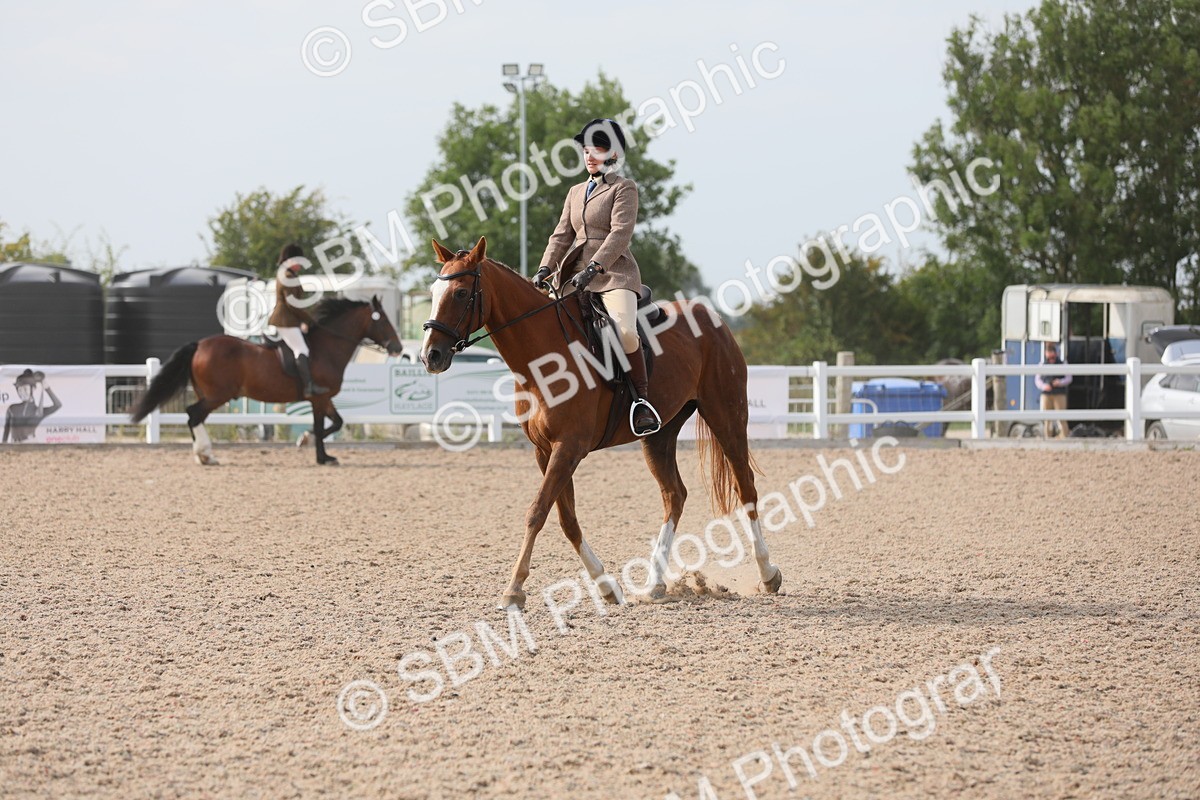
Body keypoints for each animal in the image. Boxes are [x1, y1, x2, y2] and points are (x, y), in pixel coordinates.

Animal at [131, 295, 403, 466]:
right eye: (383, 320)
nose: (398, 348)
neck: (327, 348)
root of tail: (200, 344)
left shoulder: (325, 398)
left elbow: (337, 422)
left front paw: (321, 453)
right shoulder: (318, 398)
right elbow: (321, 426)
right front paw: (315, 450)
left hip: (208, 394)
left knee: (196, 417)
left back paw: (204, 455)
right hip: (218, 395)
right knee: (193, 414)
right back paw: (206, 456)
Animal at [421, 237, 782, 609]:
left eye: (461, 293)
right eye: (433, 291)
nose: (430, 355)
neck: (542, 359)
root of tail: (713, 319)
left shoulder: (569, 448)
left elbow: (537, 511)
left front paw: (514, 589)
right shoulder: (545, 450)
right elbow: (567, 520)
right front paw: (607, 586)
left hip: (726, 416)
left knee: (745, 487)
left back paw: (768, 573)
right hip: (659, 435)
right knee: (674, 495)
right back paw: (655, 583)